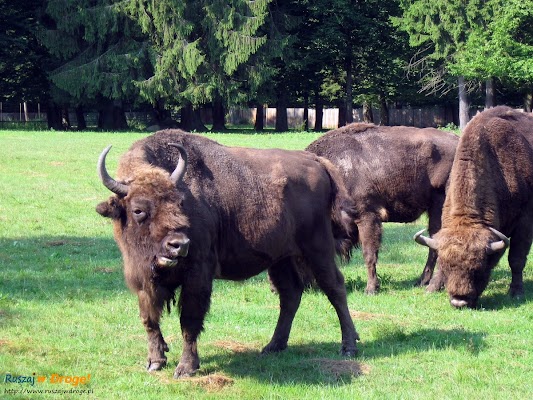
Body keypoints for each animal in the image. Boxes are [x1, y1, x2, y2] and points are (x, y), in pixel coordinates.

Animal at [96, 130, 362, 378]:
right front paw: (155, 361)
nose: (179, 245)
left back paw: (348, 346)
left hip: (317, 249)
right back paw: (273, 346)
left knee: (334, 287)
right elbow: (149, 319)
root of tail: (316, 160)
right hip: (281, 259)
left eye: (180, 203)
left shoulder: (197, 275)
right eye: (138, 209)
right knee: (291, 295)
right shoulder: (143, 279)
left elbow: (189, 320)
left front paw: (185, 368)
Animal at [306, 124, 460, 294]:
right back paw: (422, 281)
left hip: (440, 208)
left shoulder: (367, 216)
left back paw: (431, 285)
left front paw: (371, 289)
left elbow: (369, 253)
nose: (308, 287)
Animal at [416, 104, 532, 308]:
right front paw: (432, 287)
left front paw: (516, 292)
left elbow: (516, 259)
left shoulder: (524, 222)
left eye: (479, 268)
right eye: (446, 266)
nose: (459, 301)